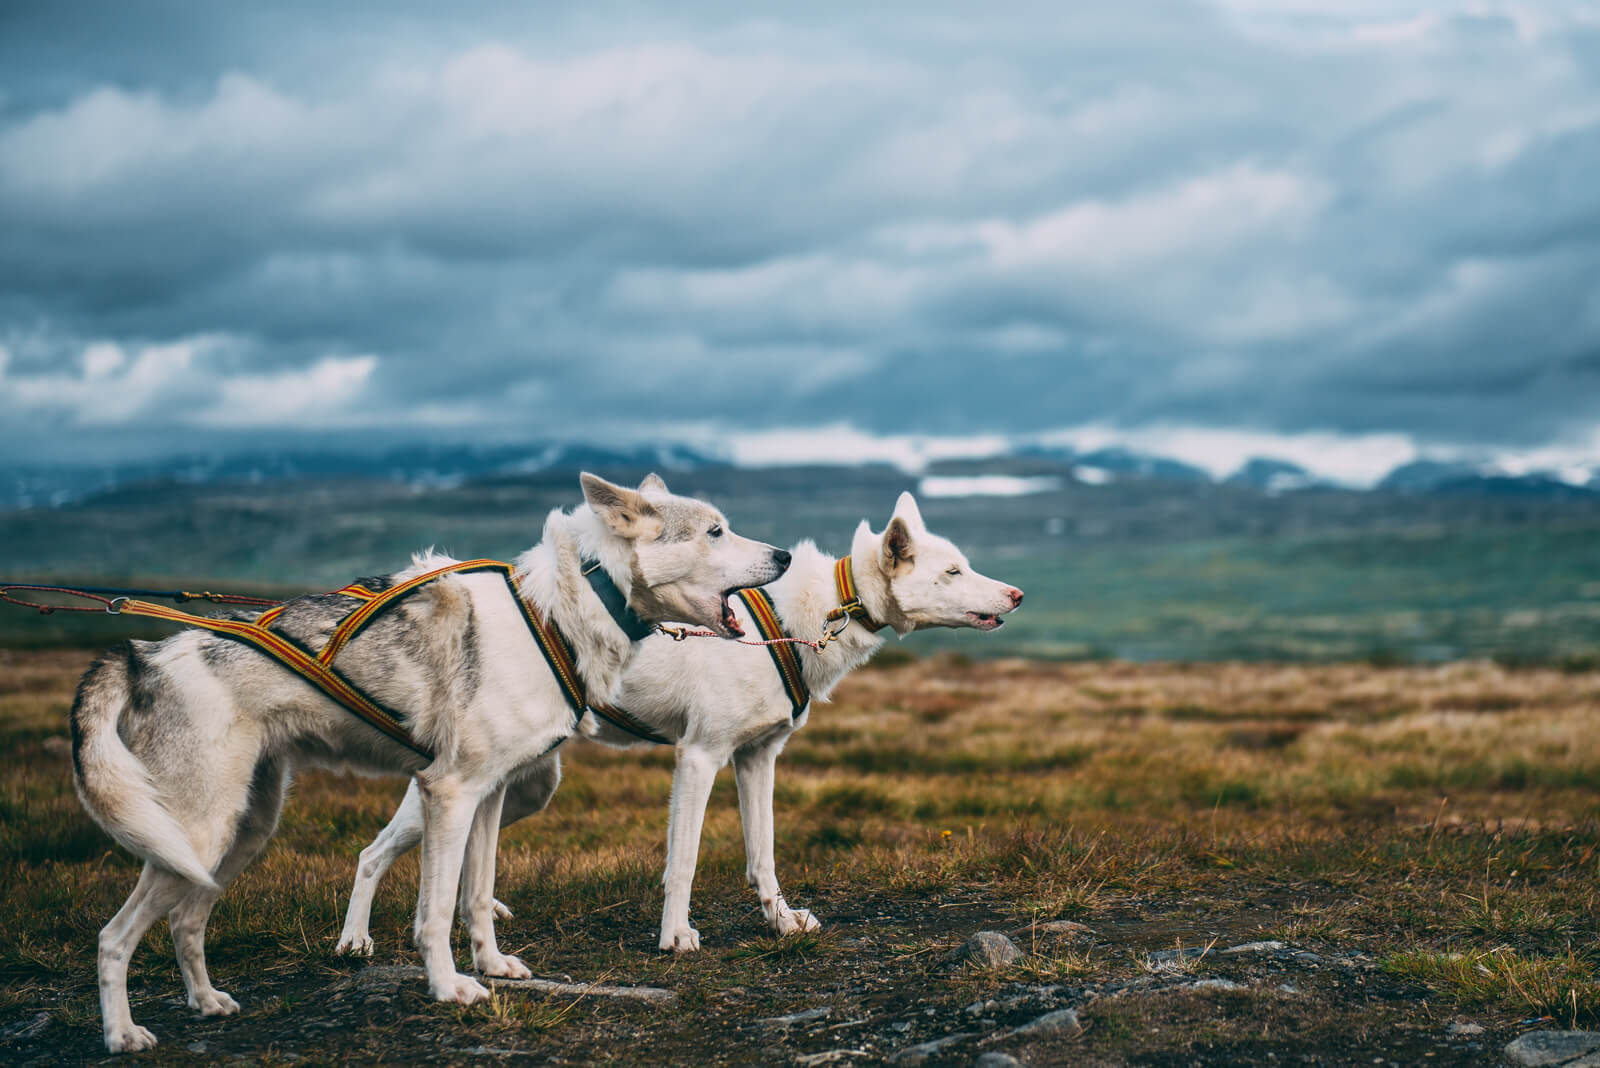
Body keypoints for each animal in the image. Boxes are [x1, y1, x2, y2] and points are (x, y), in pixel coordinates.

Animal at [72, 473, 790, 1048]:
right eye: (716, 530)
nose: (784, 554)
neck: (564, 611)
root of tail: (143, 657)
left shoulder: (490, 795)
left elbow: (476, 896)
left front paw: (493, 966)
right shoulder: (451, 791)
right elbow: (437, 911)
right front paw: (450, 989)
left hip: (242, 831)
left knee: (186, 922)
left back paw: (207, 1003)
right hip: (195, 833)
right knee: (113, 937)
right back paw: (123, 1034)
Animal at [334, 495, 1024, 952]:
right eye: (954, 572)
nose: (1017, 595)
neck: (806, 615)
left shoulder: (758, 759)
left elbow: (763, 856)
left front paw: (781, 922)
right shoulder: (699, 757)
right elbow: (683, 862)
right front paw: (675, 937)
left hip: (526, 785)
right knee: (370, 853)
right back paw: (355, 943)